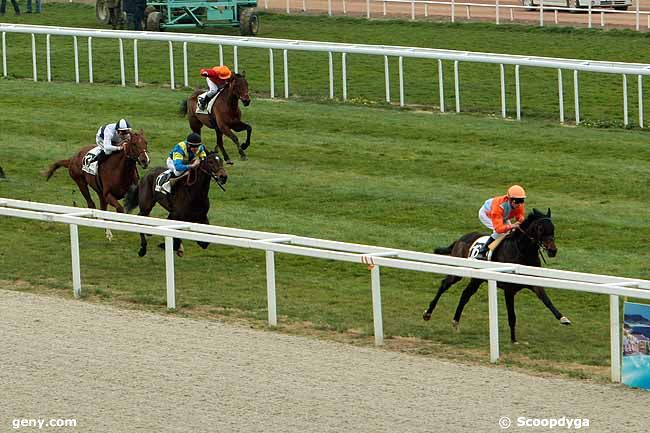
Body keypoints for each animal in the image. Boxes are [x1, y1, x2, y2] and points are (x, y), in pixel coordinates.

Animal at [420, 208, 568, 342]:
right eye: (540, 228)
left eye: (553, 227)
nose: (553, 250)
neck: (521, 251)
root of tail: (460, 239)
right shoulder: (509, 289)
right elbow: (511, 315)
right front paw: (513, 340)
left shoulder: (533, 282)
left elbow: (547, 300)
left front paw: (563, 318)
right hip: (459, 271)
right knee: (444, 285)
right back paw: (428, 313)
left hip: (477, 278)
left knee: (465, 294)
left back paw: (455, 322)